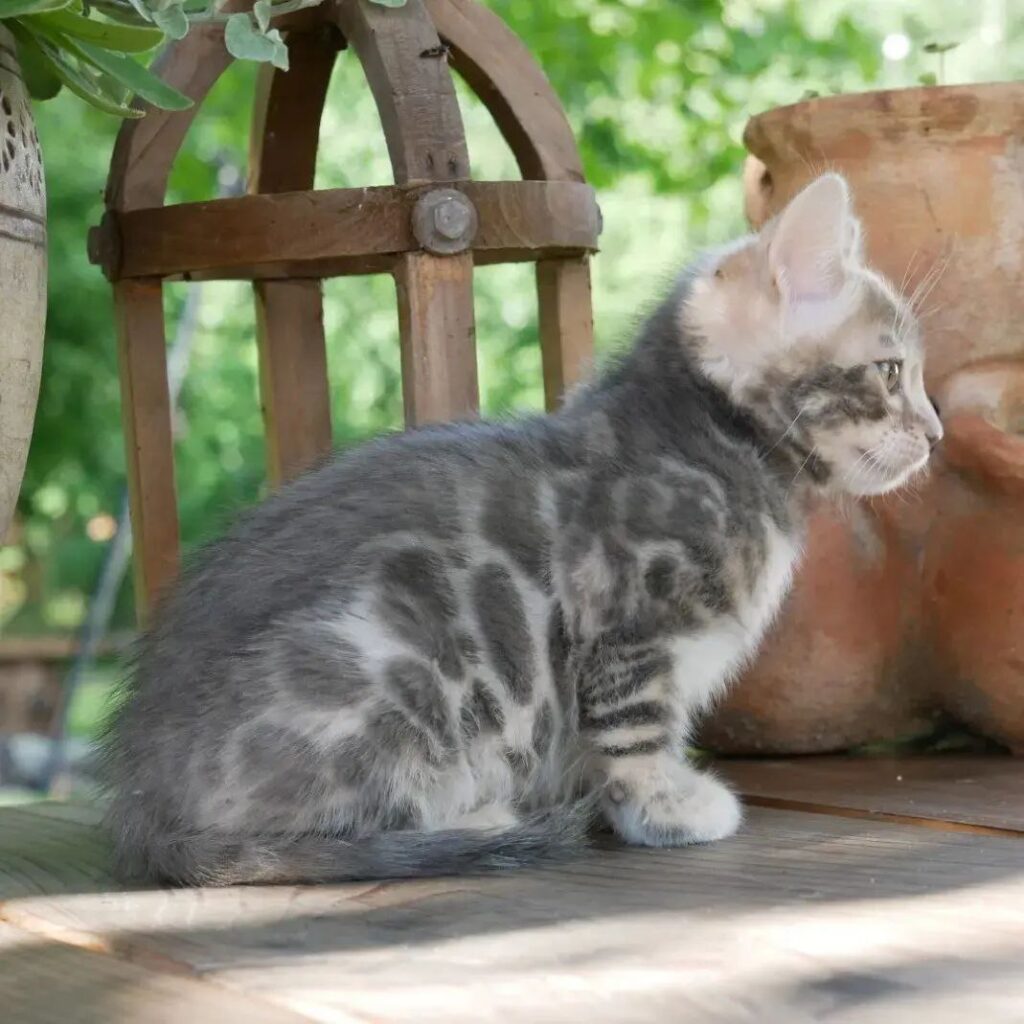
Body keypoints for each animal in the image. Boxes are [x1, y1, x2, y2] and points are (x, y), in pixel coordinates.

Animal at [103, 172, 942, 884]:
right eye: (891, 372)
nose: (936, 433)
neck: (710, 445)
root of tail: (147, 806)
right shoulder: (629, 623)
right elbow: (634, 729)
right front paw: (664, 804)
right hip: (403, 659)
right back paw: (478, 820)